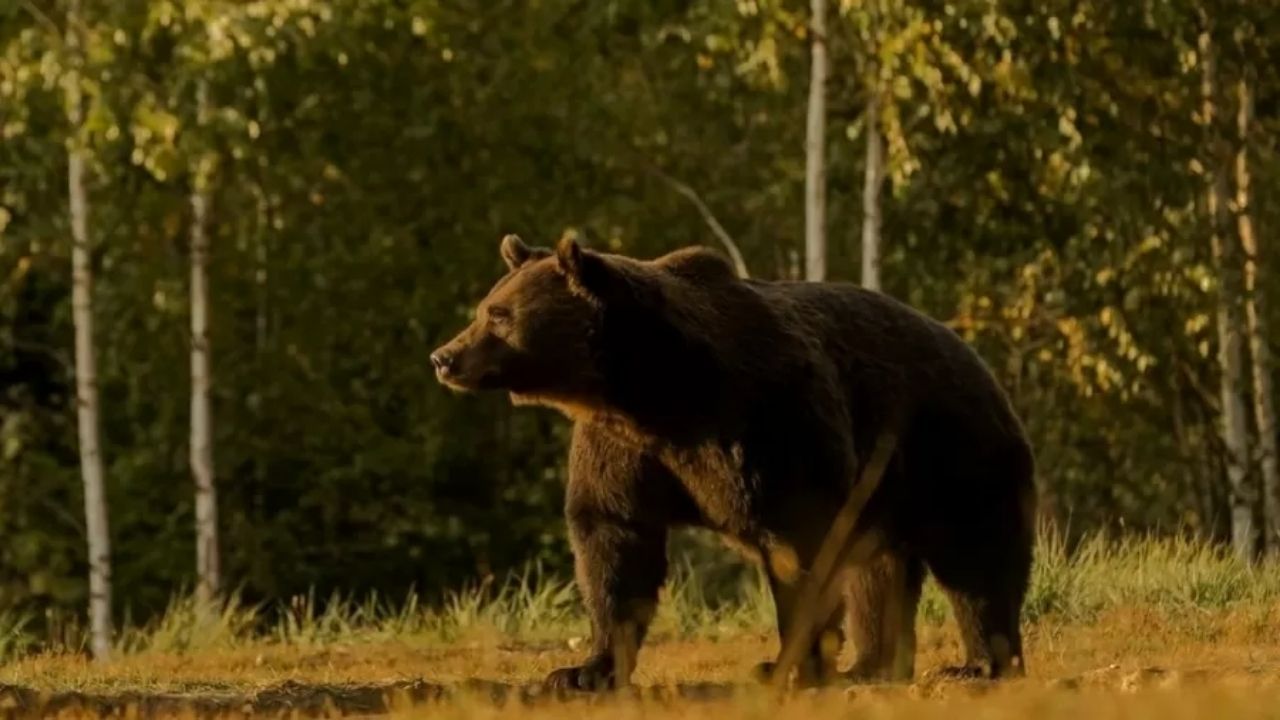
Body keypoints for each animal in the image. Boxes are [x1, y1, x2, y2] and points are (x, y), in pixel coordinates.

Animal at [431, 234, 1037, 691]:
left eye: (499, 316)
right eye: (485, 309)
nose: (444, 356)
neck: (653, 391)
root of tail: (973, 355)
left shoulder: (766, 421)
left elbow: (802, 546)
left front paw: (787, 663)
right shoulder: (622, 449)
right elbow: (613, 540)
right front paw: (584, 670)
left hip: (952, 449)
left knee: (976, 557)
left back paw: (978, 664)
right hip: (887, 488)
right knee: (880, 571)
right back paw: (872, 665)